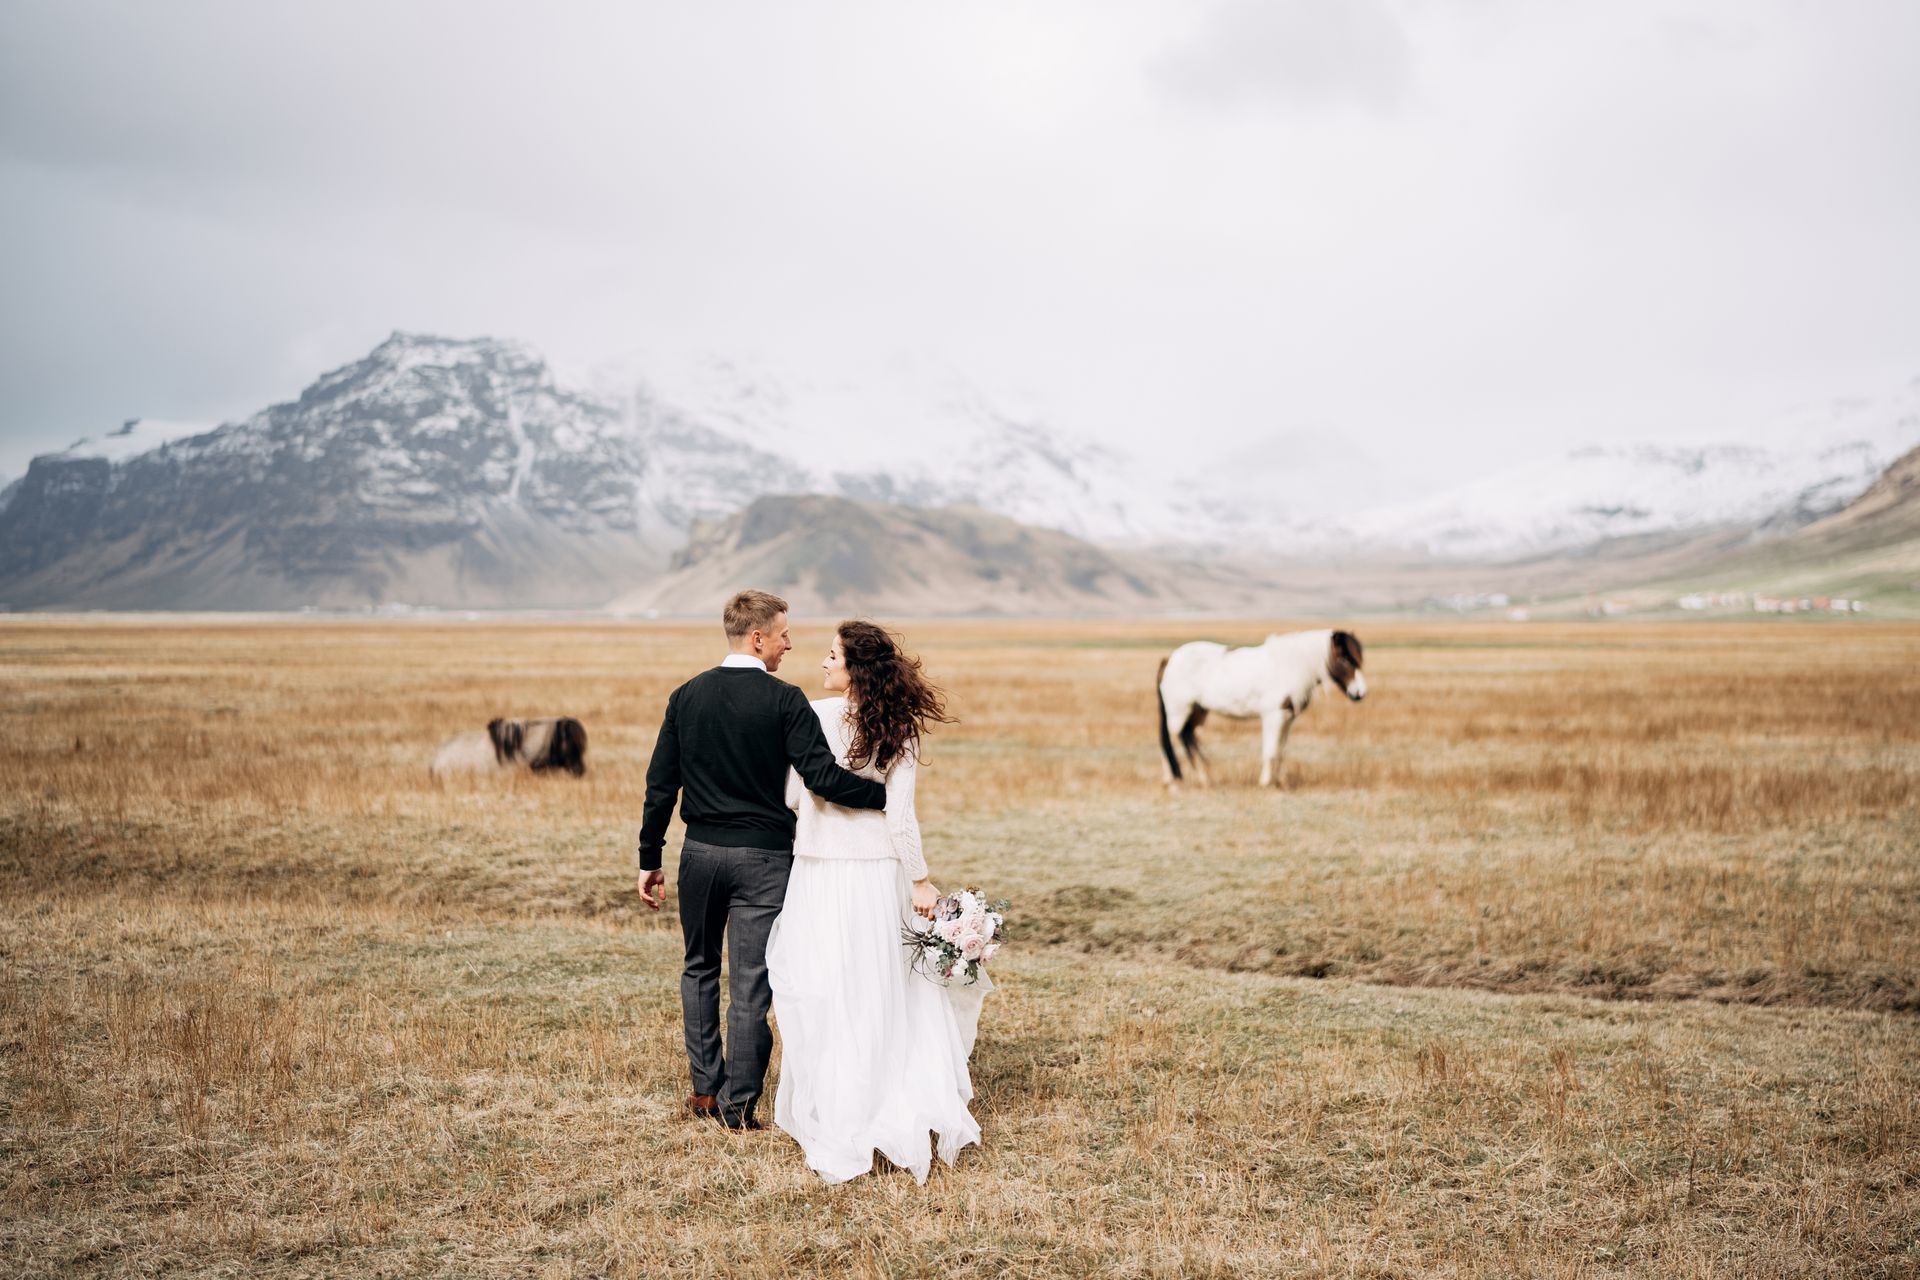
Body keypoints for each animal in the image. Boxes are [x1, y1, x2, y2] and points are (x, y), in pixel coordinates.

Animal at [1152, 629, 1367, 786]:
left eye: (1359, 660)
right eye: (1345, 659)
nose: (1360, 693)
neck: (1291, 666)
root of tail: (1169, 659)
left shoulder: (1288, 717)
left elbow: (1280, 751)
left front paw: (1280, 781)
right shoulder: (1273, 715)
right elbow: (1270, 750)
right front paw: (1265, 782)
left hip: (1198, 712)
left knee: (1186, 738)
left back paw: (1199, 778)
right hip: (1179, 711)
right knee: (1172, 740)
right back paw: (1174, 779)